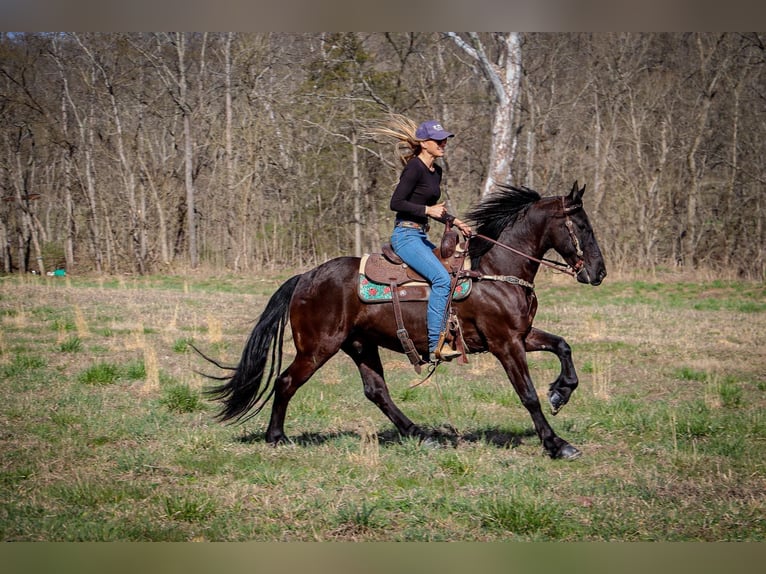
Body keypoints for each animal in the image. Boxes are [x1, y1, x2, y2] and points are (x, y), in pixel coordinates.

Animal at [201, 182, 608, 462]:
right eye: (584, 227)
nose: (599, 272)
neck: (496, 271)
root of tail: (305, 277)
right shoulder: (504, 343)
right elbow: (528, 395)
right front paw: (556, 443)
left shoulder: (521, 335)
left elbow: (562, 346)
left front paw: (561, 391)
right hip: (317, 347)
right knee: (286, 382)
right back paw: (276, 437)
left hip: (360, 345)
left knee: (376, 391)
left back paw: (419, 433)